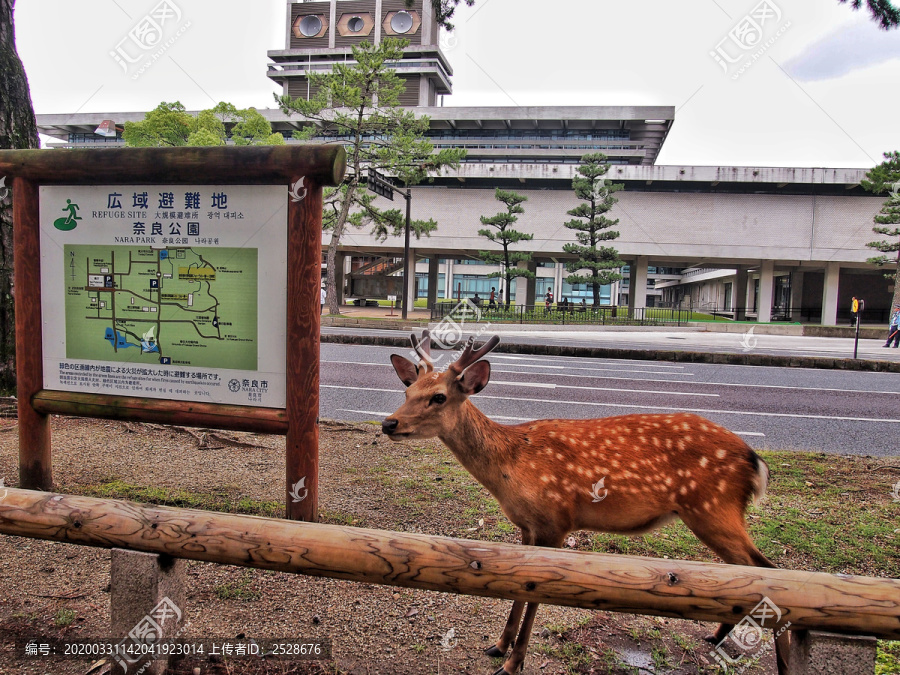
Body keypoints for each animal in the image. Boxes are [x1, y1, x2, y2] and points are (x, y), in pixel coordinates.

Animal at [380, 332, 788, 675]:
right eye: (408, 391)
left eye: (439, 396)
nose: (388, 423)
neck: (510, 469)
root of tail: (754, 460)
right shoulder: (528, 527)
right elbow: (516, 588)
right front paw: (498, 645)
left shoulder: (556, 522)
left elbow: (535, 595)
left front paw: (512, 663)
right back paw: (716, 635)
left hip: (713, 507)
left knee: (767, 569)